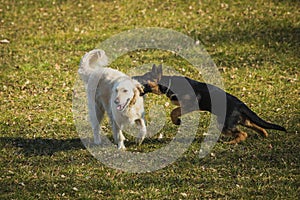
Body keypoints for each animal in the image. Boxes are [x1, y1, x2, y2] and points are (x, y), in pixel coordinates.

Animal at [134, 64, 286, 144]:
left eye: (144, 78)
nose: (133, 77)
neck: (168, 83)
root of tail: (240, 104)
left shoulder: (191, 104)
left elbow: (174, 111)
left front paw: (177, 121)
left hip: (225, 124)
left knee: (243, 134)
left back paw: (233, 142)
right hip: (240, 120)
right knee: (255, 126)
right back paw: (264, 134)